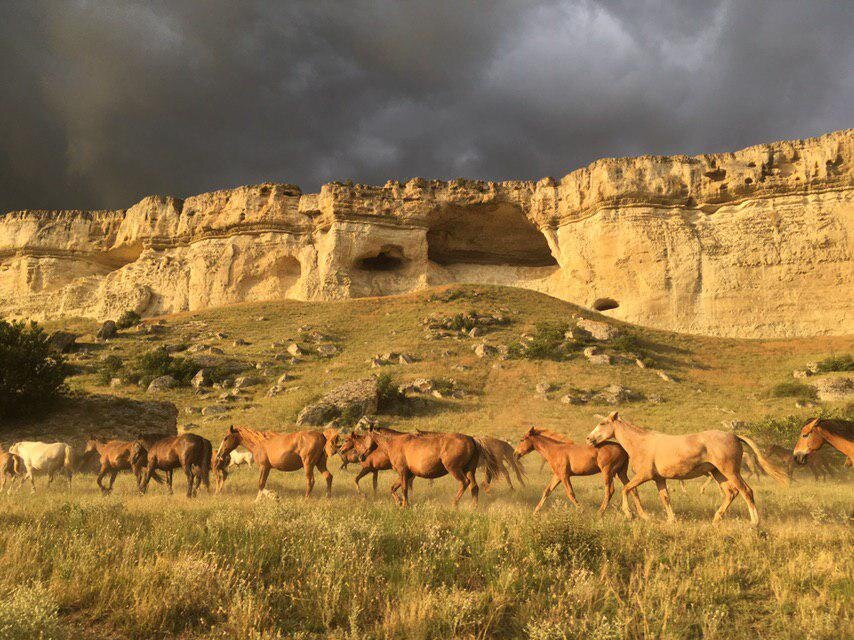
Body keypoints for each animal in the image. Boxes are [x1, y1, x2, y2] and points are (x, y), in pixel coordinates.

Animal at [352, 428, 502, 508]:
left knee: (464, 483)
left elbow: (404, 489)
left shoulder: (403, 472)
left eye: (363, 439)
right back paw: (473, 507)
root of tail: (471, 438)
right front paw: (399, 502)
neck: (395, 443)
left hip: (455, 469)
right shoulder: (408, 474)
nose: (360, 457)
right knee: (474, 487)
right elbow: (394, 488)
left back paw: (454, 504)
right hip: (470, 470)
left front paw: (404, 504)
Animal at [516, 428, 648, 516]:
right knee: (632, 489)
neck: (555, 450)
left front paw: (581, 510)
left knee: (610, 491)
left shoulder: (564, 475)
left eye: (522, 439)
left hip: (607, 472)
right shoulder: (557, 476)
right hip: (621, 473)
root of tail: (624, 450)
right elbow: (547, 491)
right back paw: (640, 514)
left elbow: (570, 493)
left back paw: (600, 513)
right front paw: (535, 512)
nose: (515, 454)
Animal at [588, 410, 788, 524]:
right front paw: (671, 520)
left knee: (746, 491)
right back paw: (716, 519)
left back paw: (754, 523)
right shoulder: (659, 479)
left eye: (603, 423)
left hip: (730, 471)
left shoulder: (645, 475)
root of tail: (735, 436)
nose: (589, 439)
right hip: (718, 474)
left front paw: (630, 514)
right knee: (731, 493)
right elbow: (665, 498)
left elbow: (626, 489)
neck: (641, 443)